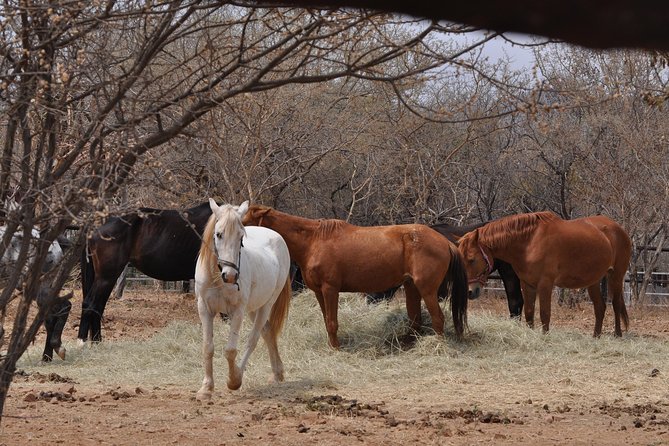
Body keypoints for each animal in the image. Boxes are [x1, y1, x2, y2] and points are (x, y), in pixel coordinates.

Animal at [195, 200, 291, 400]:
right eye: (219, 234)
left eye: (241, 237)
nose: (231, 276)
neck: (217, 277)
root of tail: (276, 236)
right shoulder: (204, 309)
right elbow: (208, 347)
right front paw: (206, 388)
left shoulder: (237, 312)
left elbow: (231, 350)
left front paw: (233, 381)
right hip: (254, 307)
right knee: (267, 332)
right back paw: (277, 374)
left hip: (265, 305)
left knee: (254, 338)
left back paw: (241, 374)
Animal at [242, 205, 469, 349]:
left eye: (245, 223)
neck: (313, 241)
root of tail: (446, 242)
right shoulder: (319, 292)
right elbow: (326, 320)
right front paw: (332, 346)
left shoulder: (330, 289)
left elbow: (332, 321)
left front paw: (336, 349)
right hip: (411, 287)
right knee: (415, 320)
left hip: (427, 289)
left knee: (437, 318)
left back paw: (437, 346)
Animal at [457, 211, 631, 337]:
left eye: (471, 259)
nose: (470, 292)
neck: (530, 241)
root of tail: (619, 229)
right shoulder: (527, 284)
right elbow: (529, 313)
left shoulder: (545, 284)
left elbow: (544, 314)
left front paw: (545, 337)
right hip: (593, 280)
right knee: (600, 307)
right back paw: (596, 336)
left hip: (616, 277)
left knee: (615, 304)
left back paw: (617, 334)